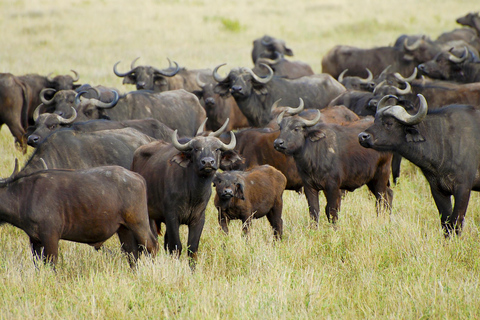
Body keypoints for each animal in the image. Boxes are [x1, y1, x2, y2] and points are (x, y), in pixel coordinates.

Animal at [358, 94, 480, 236]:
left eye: (389, 123)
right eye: (375, 121)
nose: (362, 136)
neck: (443, 141)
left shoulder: (463, 189)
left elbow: (456, 223)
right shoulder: (437, 190)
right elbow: (446, 223)